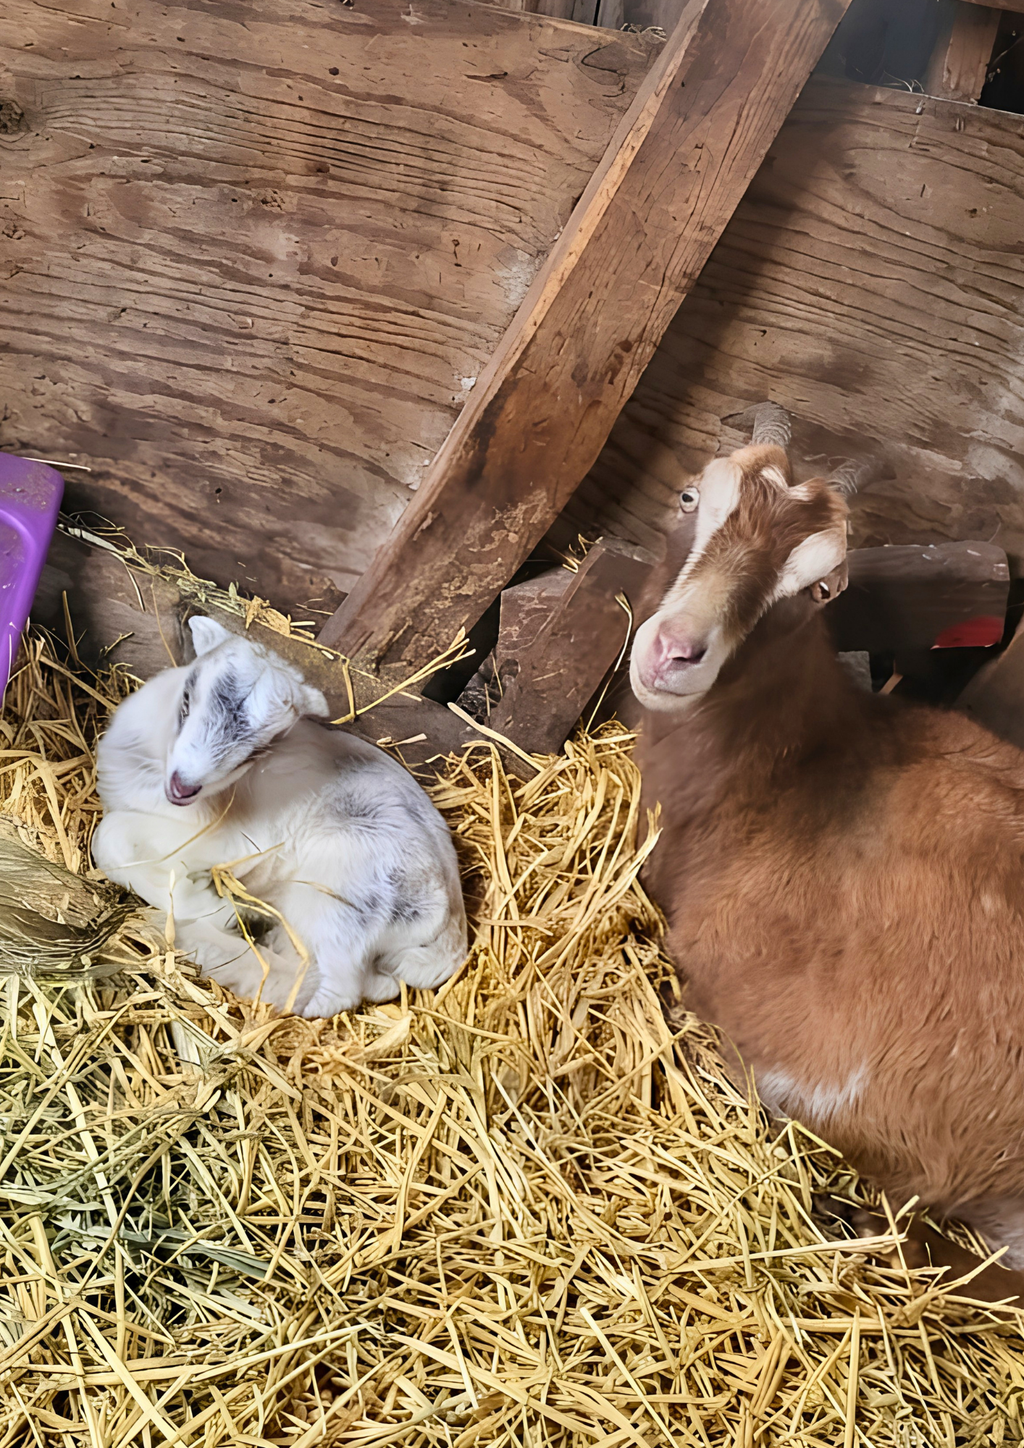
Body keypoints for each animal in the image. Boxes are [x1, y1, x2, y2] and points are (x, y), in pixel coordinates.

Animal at [92, 618, 467, 1018]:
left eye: (255, 752)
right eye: (187, 700)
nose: (184, 786)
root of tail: (452, 935)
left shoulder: (230, 840)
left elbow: (108, 836)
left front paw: (205, 905)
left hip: (340, 900)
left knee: (331, 989)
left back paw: (204, 935)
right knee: (374, 983)